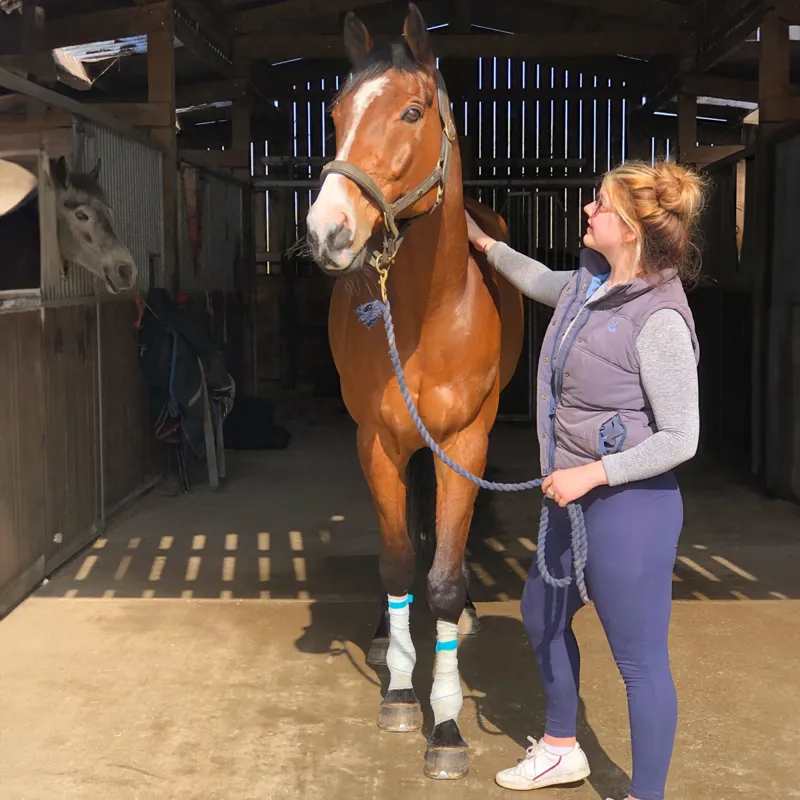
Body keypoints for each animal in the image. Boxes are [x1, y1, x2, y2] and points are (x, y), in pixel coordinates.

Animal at [305, 4, 524, 781]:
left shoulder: (466, 442)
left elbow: (445, 576)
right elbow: (399, 559)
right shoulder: (378, 442)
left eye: (412, 109)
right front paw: (401, 689)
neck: (430, 311)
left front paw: (449, 726)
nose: (327, 231)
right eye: (335, 113)